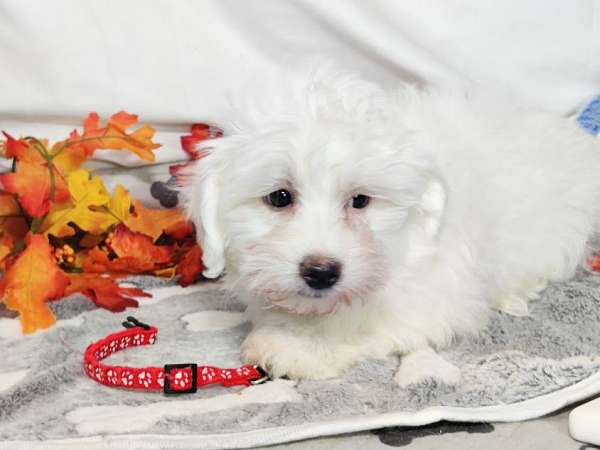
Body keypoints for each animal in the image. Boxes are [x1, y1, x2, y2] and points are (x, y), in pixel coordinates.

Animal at [182, 65, 600, 384]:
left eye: (360, 201)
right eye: (280, 197)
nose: (321, 272)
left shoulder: (435, 291)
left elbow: (368, 319)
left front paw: (301, 346)